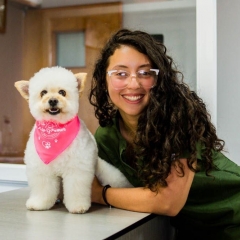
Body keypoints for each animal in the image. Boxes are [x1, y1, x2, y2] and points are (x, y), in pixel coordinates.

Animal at [14, 66, 132, 214]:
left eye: (62, 92)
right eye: (43, 93)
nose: (53, 100)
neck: (55, 130)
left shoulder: (77, 168)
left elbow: (76, 188)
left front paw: (78, 206)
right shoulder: (42, 169)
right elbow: (43, 188)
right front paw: (39, 203)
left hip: (107, 174)